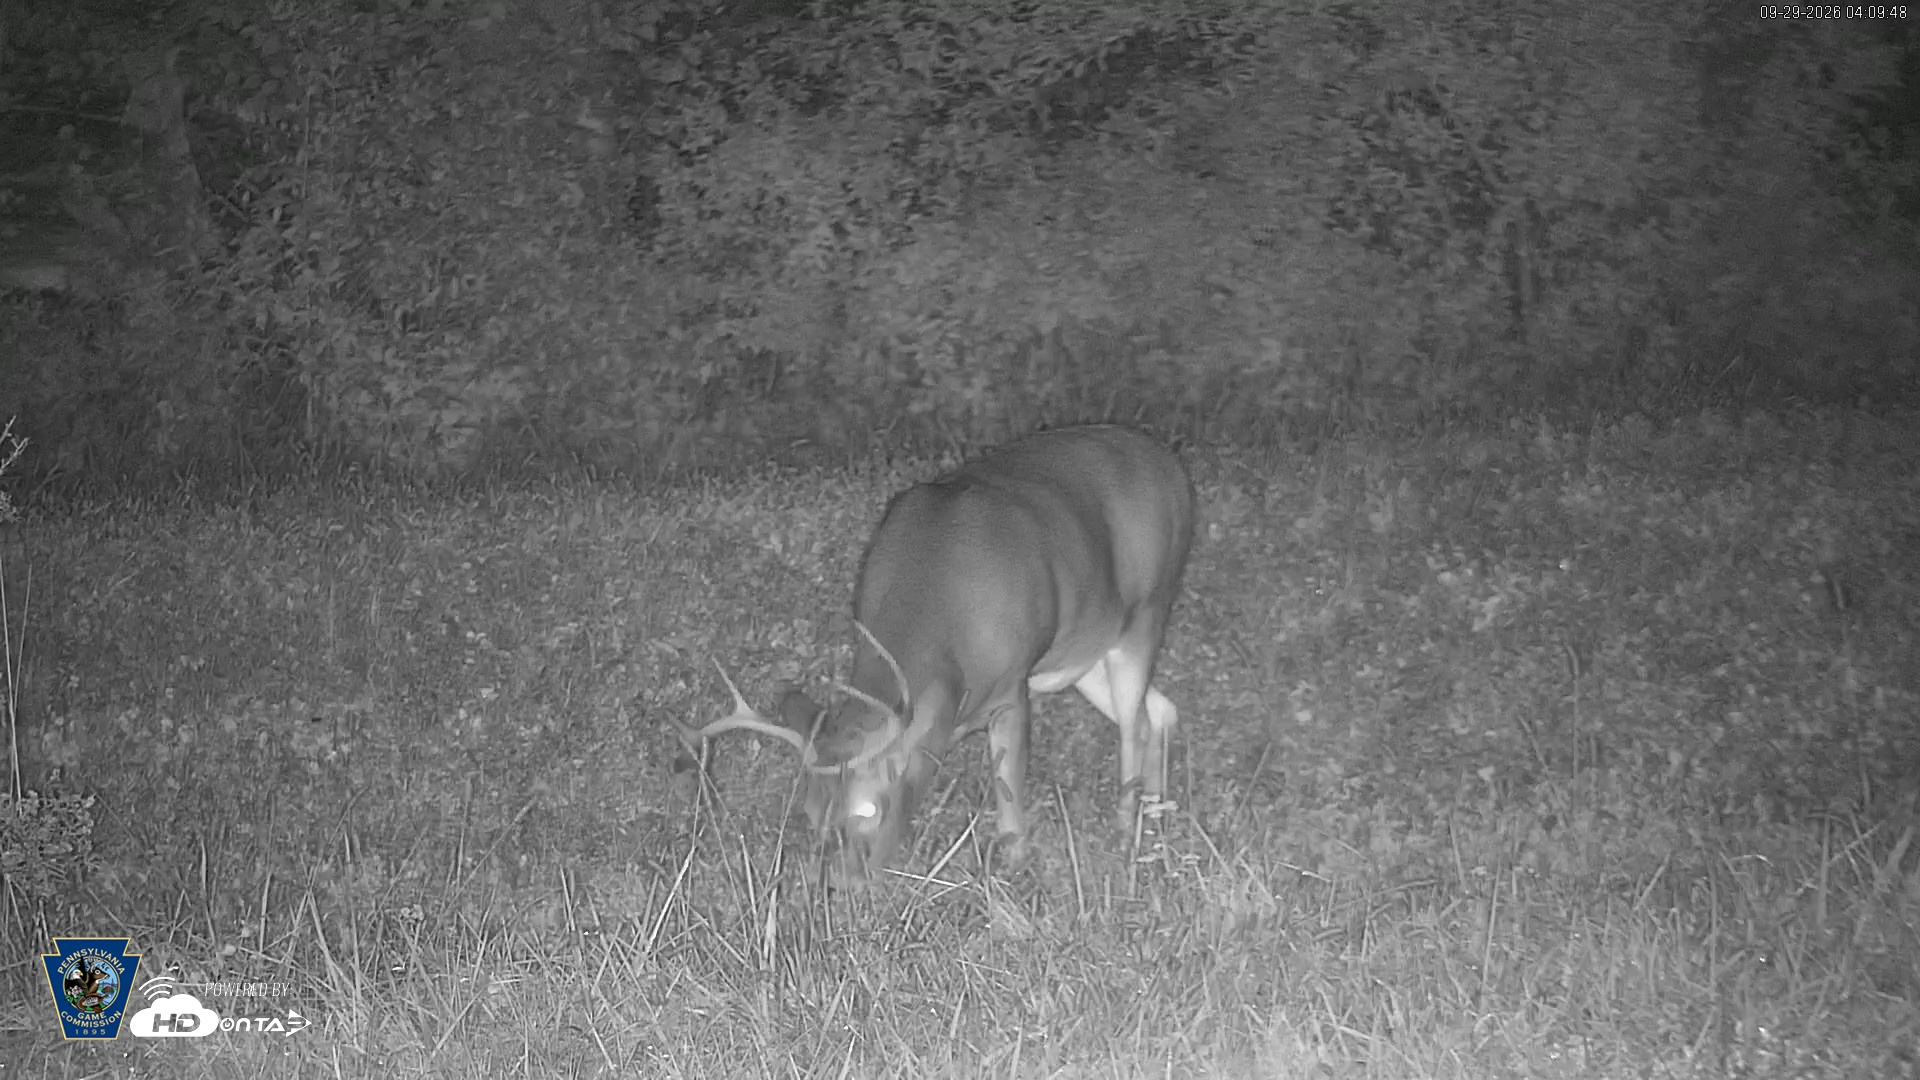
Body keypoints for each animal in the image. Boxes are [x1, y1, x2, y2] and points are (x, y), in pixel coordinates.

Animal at [675, 425, 1196, 882]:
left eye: (868, 808)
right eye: (810, 809)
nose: (838, 884)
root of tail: (1170, 462)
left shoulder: (1012, 685)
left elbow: (1008, 787)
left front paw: (1014, 865)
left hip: (1147, 610)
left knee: (1137, 723)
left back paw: (1128, 832)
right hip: (1083, 651)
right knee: (1162, 710)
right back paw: (1157, 825)